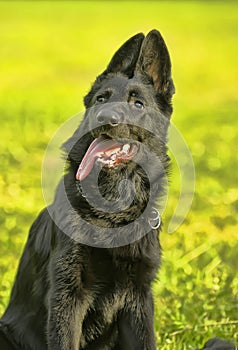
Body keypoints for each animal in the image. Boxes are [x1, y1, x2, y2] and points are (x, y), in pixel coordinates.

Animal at [0, 30, 234, 350]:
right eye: (101, 99)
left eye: (138, 104)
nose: (105, 117)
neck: (112, 212)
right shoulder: (67, 295)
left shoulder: (139, 300)